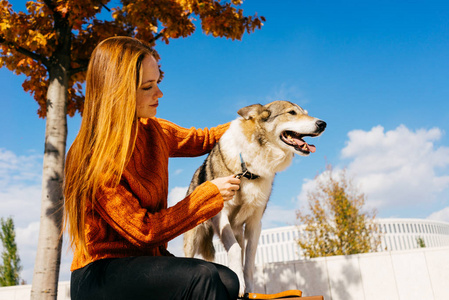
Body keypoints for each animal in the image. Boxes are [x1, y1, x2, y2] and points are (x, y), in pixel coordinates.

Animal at [182, 101, 326, 296]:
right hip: (193, 239)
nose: (323, 124)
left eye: (306, 113)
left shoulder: (254, 222)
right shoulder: (222, 216)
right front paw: (239, 281)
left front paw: (249, 288)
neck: (249, 169)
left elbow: (249, 260)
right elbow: (235, 250)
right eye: (292, 113)